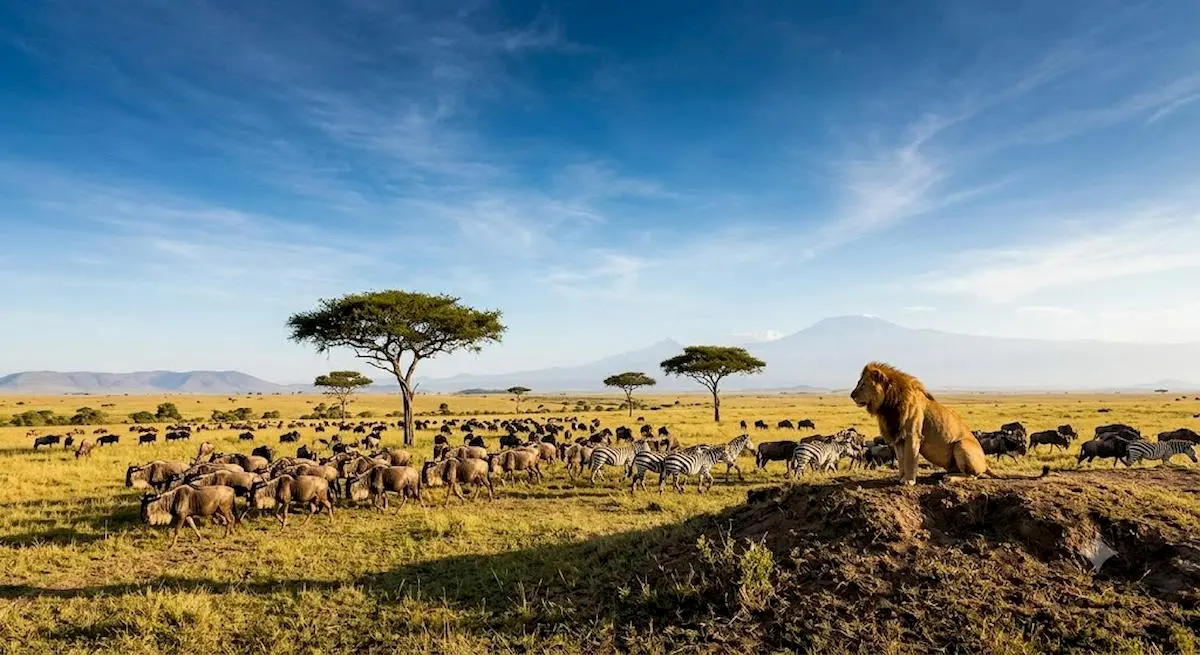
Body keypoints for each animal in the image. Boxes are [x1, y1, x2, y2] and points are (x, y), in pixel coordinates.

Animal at [850, 362, 1048, 485]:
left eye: (862, 384)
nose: (851, 395)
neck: (888, 406)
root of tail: (985, 463)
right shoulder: (898, 437)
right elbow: (901, 461)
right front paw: (900, 478)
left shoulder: (913, 435)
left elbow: (910, 460)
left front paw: (909, 481)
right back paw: (941, 473)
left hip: (960, 445)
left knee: (972, 476)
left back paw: (948, 479)